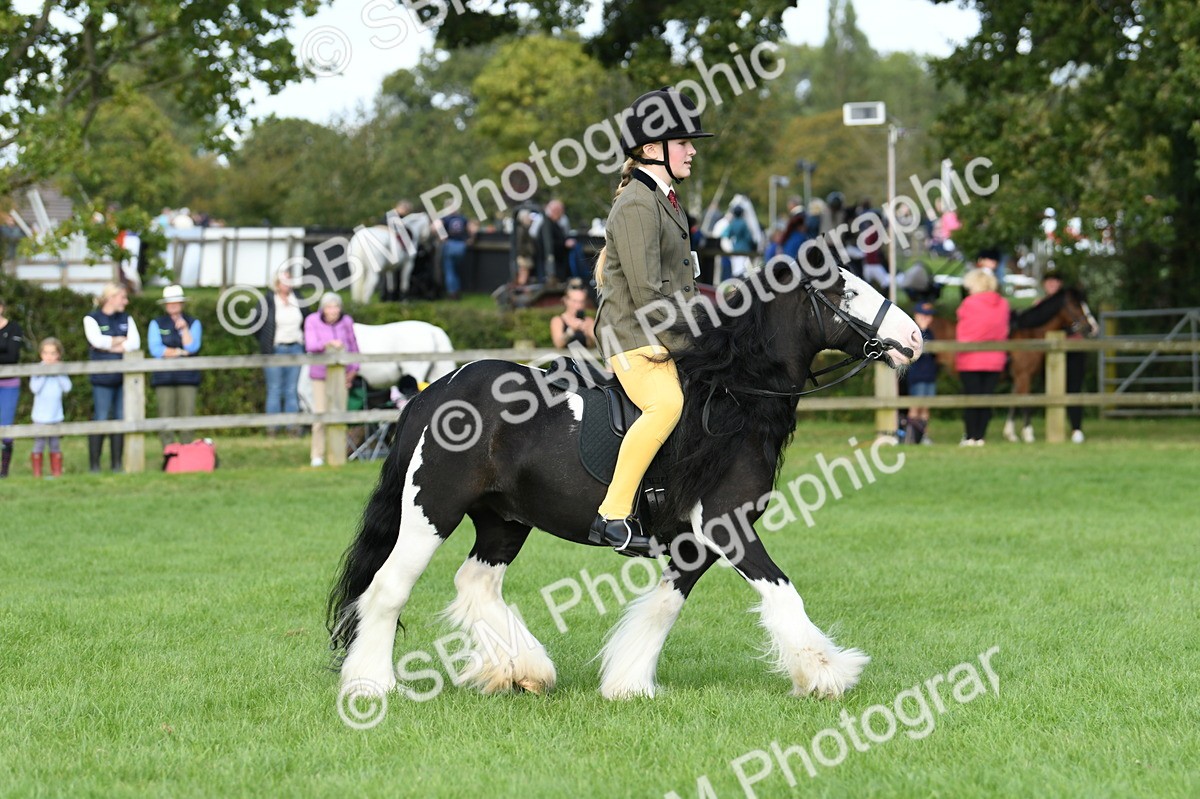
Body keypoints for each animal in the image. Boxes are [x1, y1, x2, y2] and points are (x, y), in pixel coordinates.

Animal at [327, 262, 922, 702]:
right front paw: (827, 674)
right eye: (847, 290)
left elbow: (663, 608)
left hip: (504, 521)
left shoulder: (694, 543)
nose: (914, 338)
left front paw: (627, 684)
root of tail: (437, 390)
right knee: (387, 588)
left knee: (475, 585)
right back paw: (371, 685)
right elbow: (782, 591)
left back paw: (524, 670)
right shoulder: (727, 527)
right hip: (433, 509)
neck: (731, 395)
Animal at [1003, 288, 1098, 442]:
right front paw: (1028, 434)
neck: (1028, 335)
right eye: (1076, 305)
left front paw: (1011, 434)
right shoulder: (1023, 376)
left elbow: (1013, 402)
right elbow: (1025, 403)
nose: (1093, 327)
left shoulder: (1018, 378)